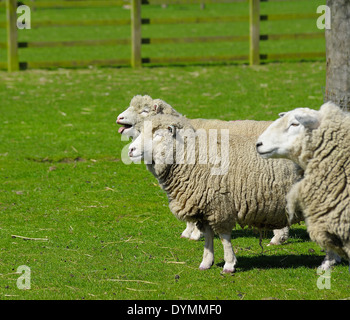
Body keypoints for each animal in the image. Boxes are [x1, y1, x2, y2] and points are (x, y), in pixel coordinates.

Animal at [127, 114, 302, 272]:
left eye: (158, 134)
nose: (130, 150)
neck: (193, 156)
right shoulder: (204, 207)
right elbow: (209, 236)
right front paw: (206, 262)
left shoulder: (219, 205)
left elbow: (224, 238)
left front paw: (229, 264)